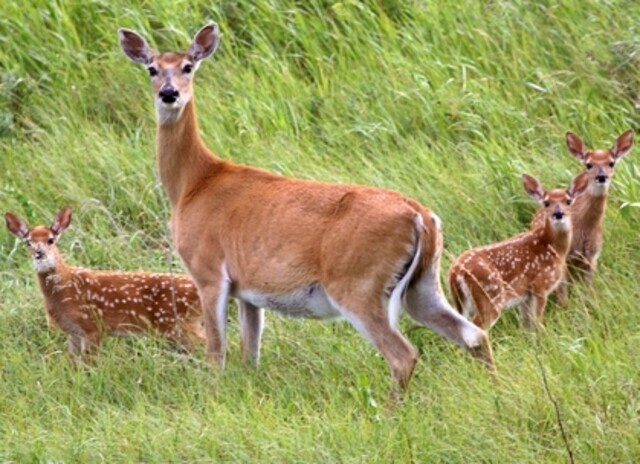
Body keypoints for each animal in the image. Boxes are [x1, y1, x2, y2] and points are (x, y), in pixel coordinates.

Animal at [5, 206, 204, 358]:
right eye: (28, 242)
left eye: (50, 240)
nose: (39, 253)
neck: (64, 290)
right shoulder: (73, 332)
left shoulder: (92, 326)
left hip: (176, 324)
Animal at [118, 22, 495, 392]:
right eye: (152, 68)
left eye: (188, 66)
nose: (169, 94)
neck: (193, 183)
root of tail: (421, 217)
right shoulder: (248, 290)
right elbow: (250, 353)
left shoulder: (207, 269)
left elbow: (216, 353)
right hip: (423, 283)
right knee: (473, 334)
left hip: (358, 283)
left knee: (404, 354)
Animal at [448, 172, 589, 331]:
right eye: (546, 203)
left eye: (568, 201)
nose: (558, 214)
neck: (553, 248)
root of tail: (456, 272)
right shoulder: (541, 285)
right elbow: (538, 321)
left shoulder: (525, 296)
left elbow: (527, 325)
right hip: (490, 297)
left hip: (460, 302)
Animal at [530, 130, 634, 304]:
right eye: (588, 164)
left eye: (611, 163)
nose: (601, 177)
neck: (584, 229)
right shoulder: (564, 256)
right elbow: (562, 294)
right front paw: (563, 307)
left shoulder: (593, 255)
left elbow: (588, 290)